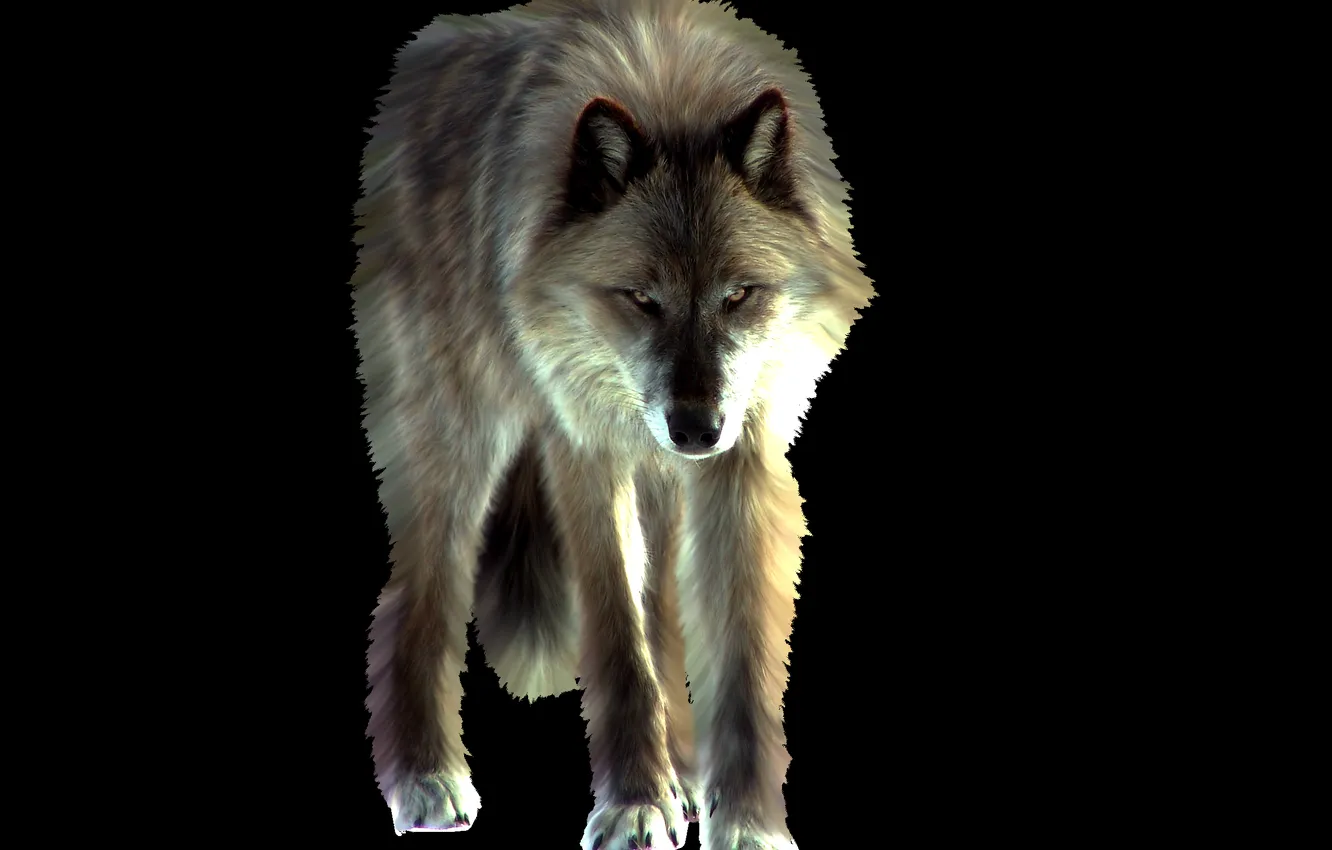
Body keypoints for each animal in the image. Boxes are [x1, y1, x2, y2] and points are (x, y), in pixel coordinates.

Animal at [350, 1, 874, 847]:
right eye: (641, 299)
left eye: (738, 295)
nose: (695, 429)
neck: (670, 92)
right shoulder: (587, 455)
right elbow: (620, 645)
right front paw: (633, 802)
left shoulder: (743, 463)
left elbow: (739, 659)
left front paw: (746, 821)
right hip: (462, 442)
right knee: (415, 599)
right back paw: (426, 779)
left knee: (664, 612)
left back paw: (685, 777)